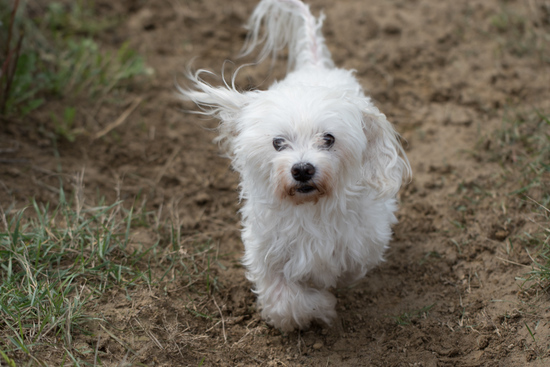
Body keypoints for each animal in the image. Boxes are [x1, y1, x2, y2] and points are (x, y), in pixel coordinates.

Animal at [179, 0, 412, 334]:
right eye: (278, 143)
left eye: (328, 139)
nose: (302, 169)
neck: (310, 209)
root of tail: (315, 66)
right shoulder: (267, 255)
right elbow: (285, 301)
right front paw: (320, 307)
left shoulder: (360, 247)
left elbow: (346, 272)